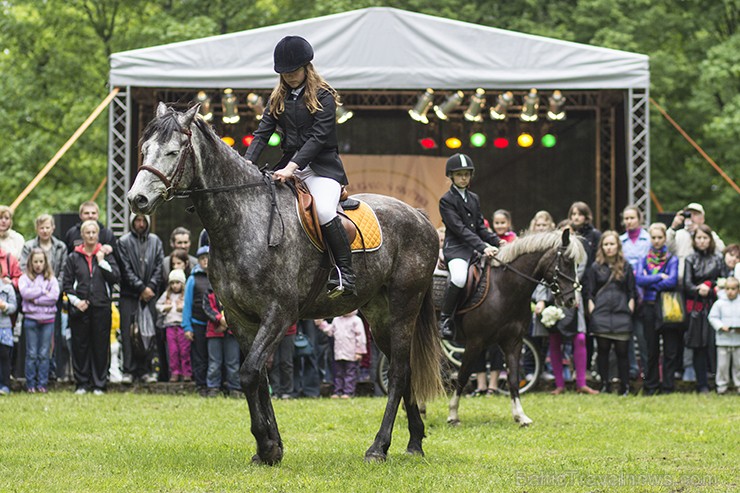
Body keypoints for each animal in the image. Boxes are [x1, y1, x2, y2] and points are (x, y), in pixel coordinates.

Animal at [126, 104, 442, 466]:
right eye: (144, 148)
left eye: (173, 152)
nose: (137, 199)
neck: (243, 219)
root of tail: (419, 216)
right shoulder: (239, 317)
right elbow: (258, 376)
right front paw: (271, 448)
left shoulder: (280, 313)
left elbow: (249, 372)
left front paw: (266, 445)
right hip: (378, 313)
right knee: (404, 371)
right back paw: (414, 441)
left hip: (404, 305)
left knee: (400, 371)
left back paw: (378, 447)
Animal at [446, 231, 584, 426]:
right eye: (565, 261)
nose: (571, 300)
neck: (503, 288)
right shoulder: (475, 342)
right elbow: (463, 375)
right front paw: (453, 414)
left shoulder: (513, 342)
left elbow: (513, 378)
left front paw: (520, 416)